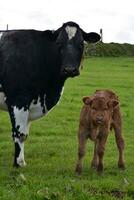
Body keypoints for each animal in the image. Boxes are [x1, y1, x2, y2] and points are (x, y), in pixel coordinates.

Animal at [0, 21, 99, 167]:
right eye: (58, 43)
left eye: (81, 43)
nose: (69, 69)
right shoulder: (18, 99)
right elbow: (20, 134)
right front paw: (18, 163)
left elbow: (25, 134)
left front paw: (22, 162)